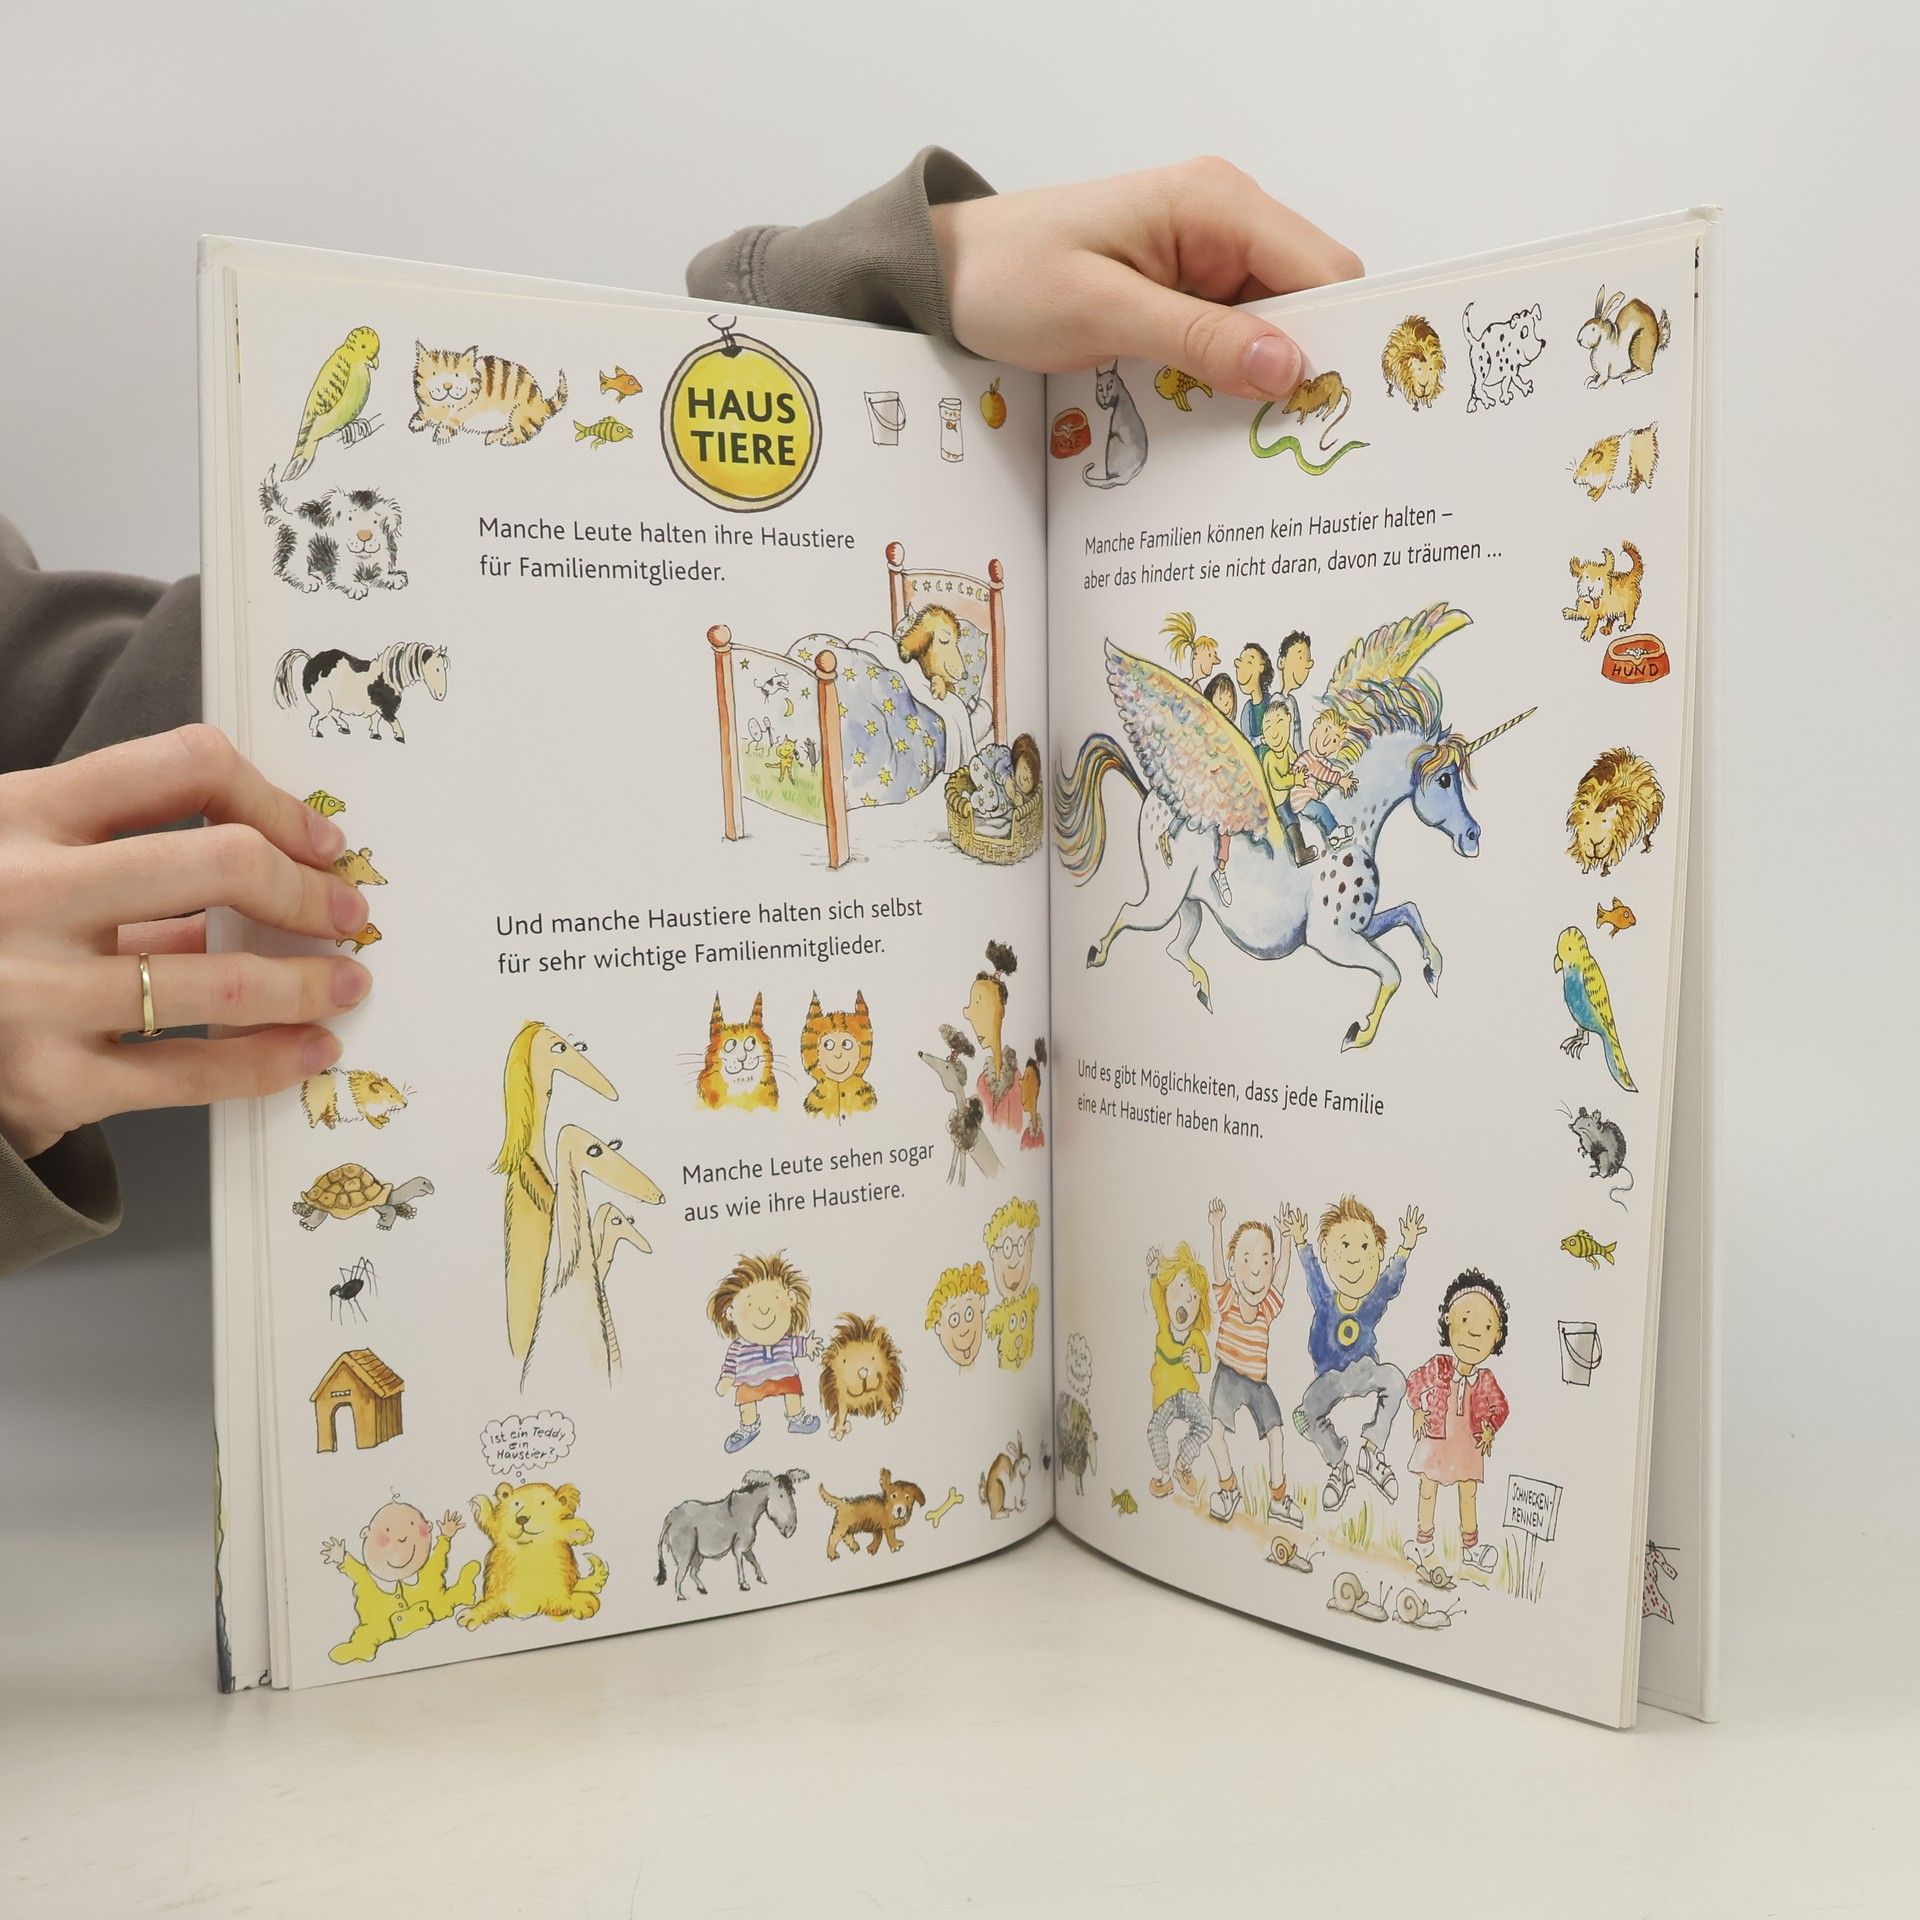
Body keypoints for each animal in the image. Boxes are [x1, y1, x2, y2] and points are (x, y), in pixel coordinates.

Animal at [409, 343, 568, 448]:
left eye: (457, 375)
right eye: (435, 374)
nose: (447, 386)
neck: (444, 404)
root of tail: (541, 402)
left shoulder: (462, 411)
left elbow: (450, 421)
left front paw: (441, 434)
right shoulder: (429, 406)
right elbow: (425, 413)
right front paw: (416, 422)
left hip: (518, 410)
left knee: (524, 430)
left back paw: (508, 438)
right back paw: (494, 435)